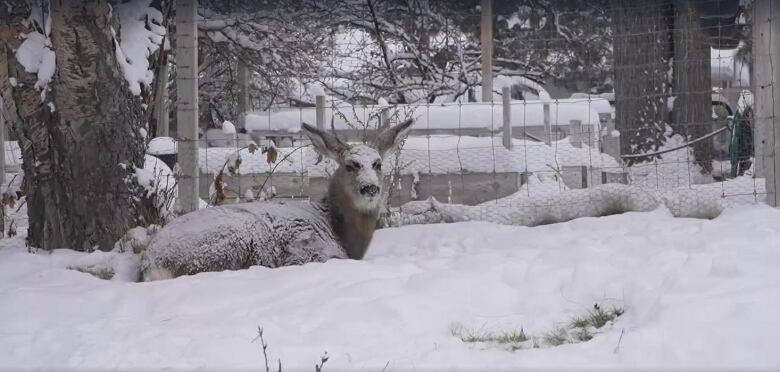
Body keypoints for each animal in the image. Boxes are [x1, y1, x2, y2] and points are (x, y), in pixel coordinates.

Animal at [139, 118, 414, 280]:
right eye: (350, 165)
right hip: (229, 243)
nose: (370, 188)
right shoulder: (308, 250)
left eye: (377, 164)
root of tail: (150, 263)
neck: (340, 231)